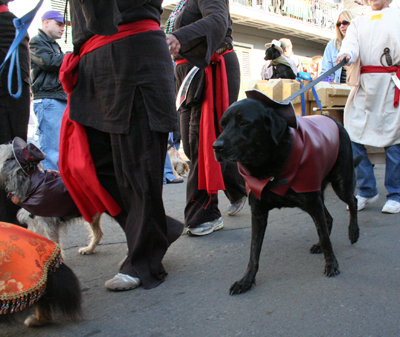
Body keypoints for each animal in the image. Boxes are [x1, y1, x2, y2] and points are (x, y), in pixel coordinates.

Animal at [214, 95, 360, 294]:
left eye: (244, 123)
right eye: (222, 124)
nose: (216, 146)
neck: (268, 166)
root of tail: (332, 119)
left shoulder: (313, 202)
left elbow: (325, 237)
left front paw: (331, 264)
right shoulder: (259, 213)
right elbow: (254, 251)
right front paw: (246, 280)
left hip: (341, 182)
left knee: (353, 201)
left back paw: (353, 232)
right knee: (329, 217)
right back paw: (320, 245)